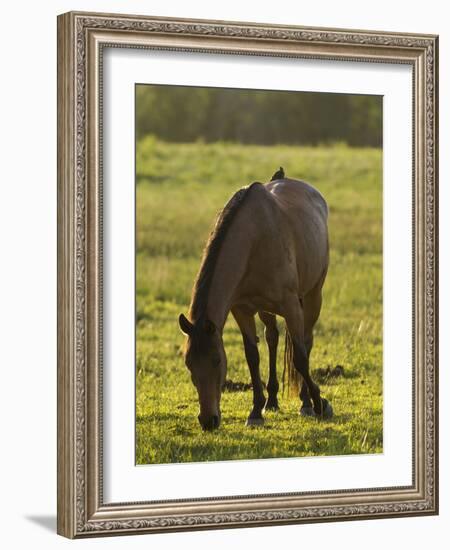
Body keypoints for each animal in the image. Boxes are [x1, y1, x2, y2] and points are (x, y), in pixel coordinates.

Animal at [178, 167, 332, 432]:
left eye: (217, 360)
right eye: (189, 363)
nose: (208, 420)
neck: (254, 240)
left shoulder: (291, 306)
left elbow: (301, 358)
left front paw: (320, 403)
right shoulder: (242, 309)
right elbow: (252, 357)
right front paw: (256, 410)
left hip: (313, 296)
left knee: (306, 341)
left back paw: (306, 402)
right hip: (265, 309)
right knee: (272, 337)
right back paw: (272, 400)